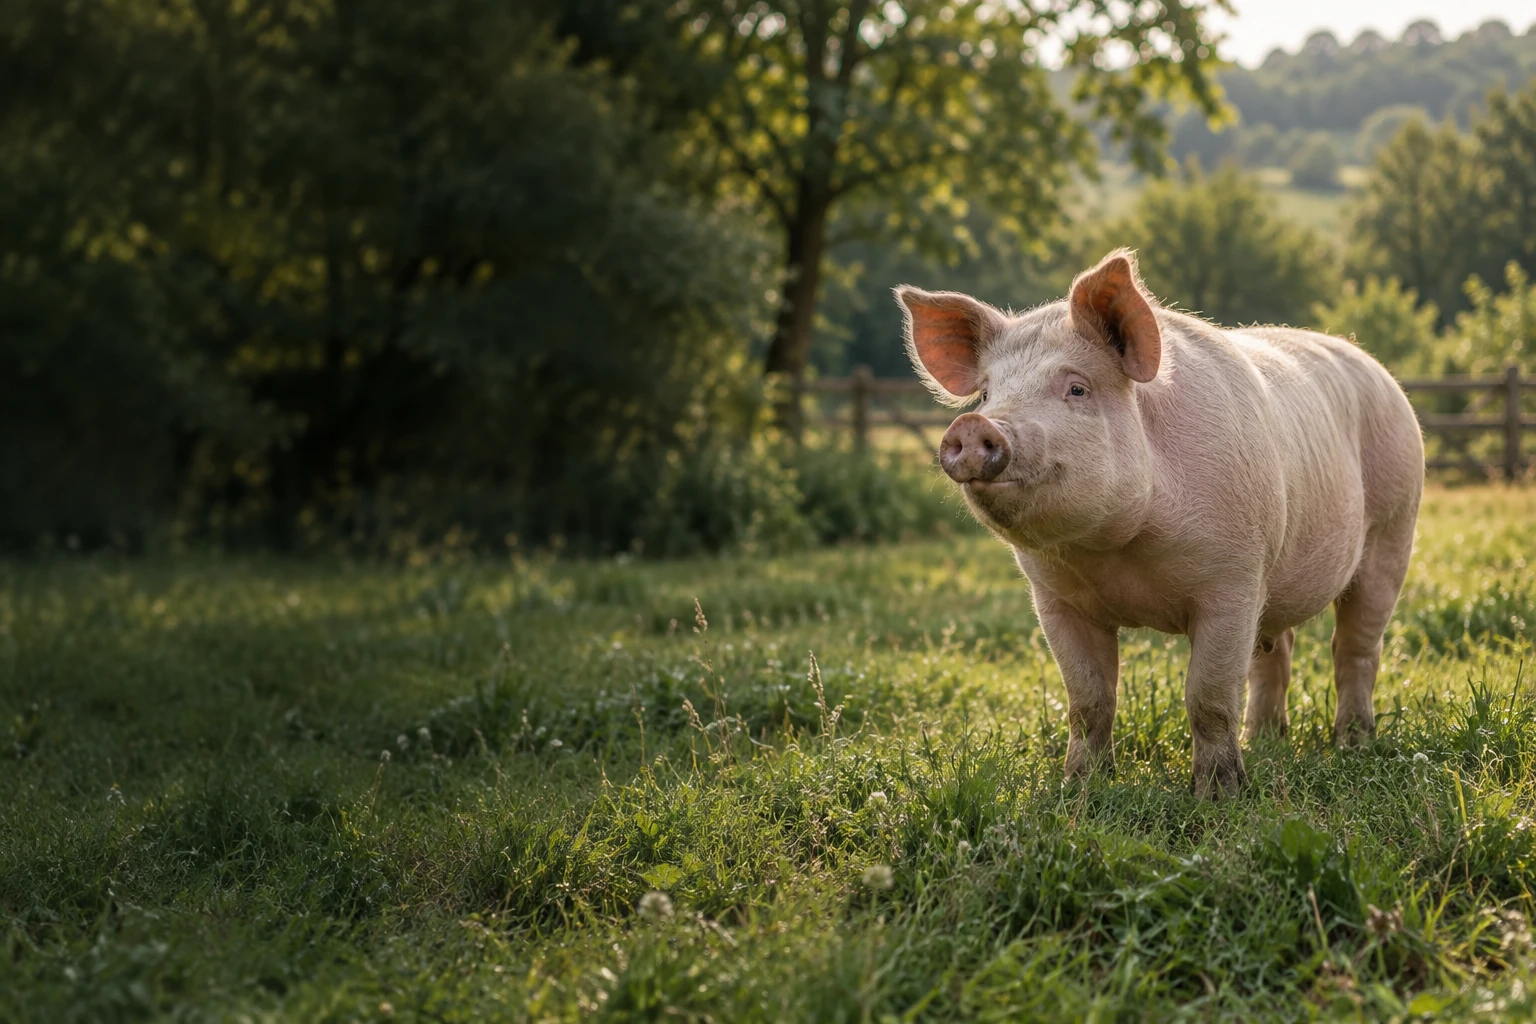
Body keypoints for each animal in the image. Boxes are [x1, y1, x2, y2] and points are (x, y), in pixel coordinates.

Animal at [896, 249, 1423, 798]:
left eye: (1077, 388)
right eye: (986, 394)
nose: (973, 425)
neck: (1117, 550)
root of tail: (1382, 374)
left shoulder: (1234, 579)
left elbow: (1208, 695)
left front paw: (1219, 796)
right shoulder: (1055, 598)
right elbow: (1088, 700)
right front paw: (1079, 789)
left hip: (1395, 525)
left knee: (1355, 647)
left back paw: (1352, 744)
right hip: (1278, 577)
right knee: (1276, 650)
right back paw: (1265, 742)